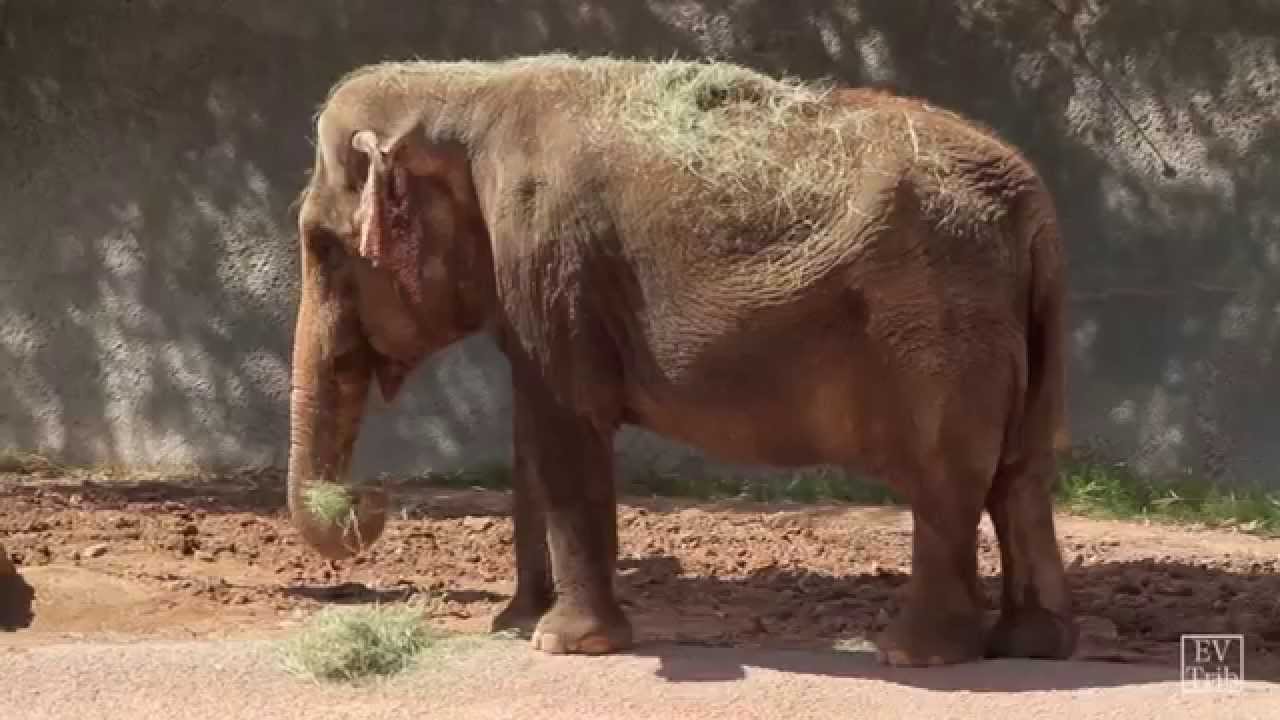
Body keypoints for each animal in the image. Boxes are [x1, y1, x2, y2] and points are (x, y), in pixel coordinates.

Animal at [285, 54, 1076, 668]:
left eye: (322, 246)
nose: (368, 500)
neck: (467, 90)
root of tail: (1032, 207)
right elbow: (533, 434)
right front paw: (516, 625)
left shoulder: (547, 252)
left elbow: (566, 428)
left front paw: (565, 646)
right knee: (1019, 476)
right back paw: (1030, 646)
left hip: (936, 327)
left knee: (947, 481)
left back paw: (915, 655)